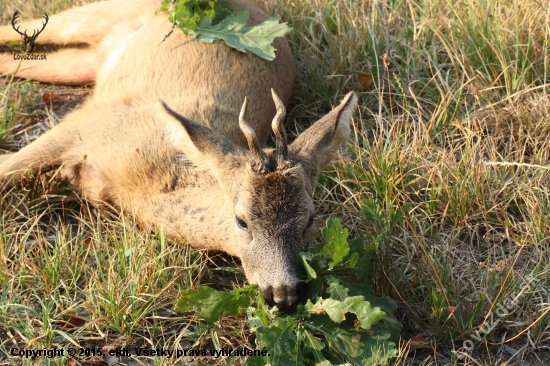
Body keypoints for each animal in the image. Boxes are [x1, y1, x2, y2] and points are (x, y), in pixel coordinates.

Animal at [0, 0, 358, 312]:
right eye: (241, 220)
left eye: (310, 219)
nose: (283, 295)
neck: (143, 187)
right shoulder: (84, 124)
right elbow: (6, 168)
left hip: (83, 64)